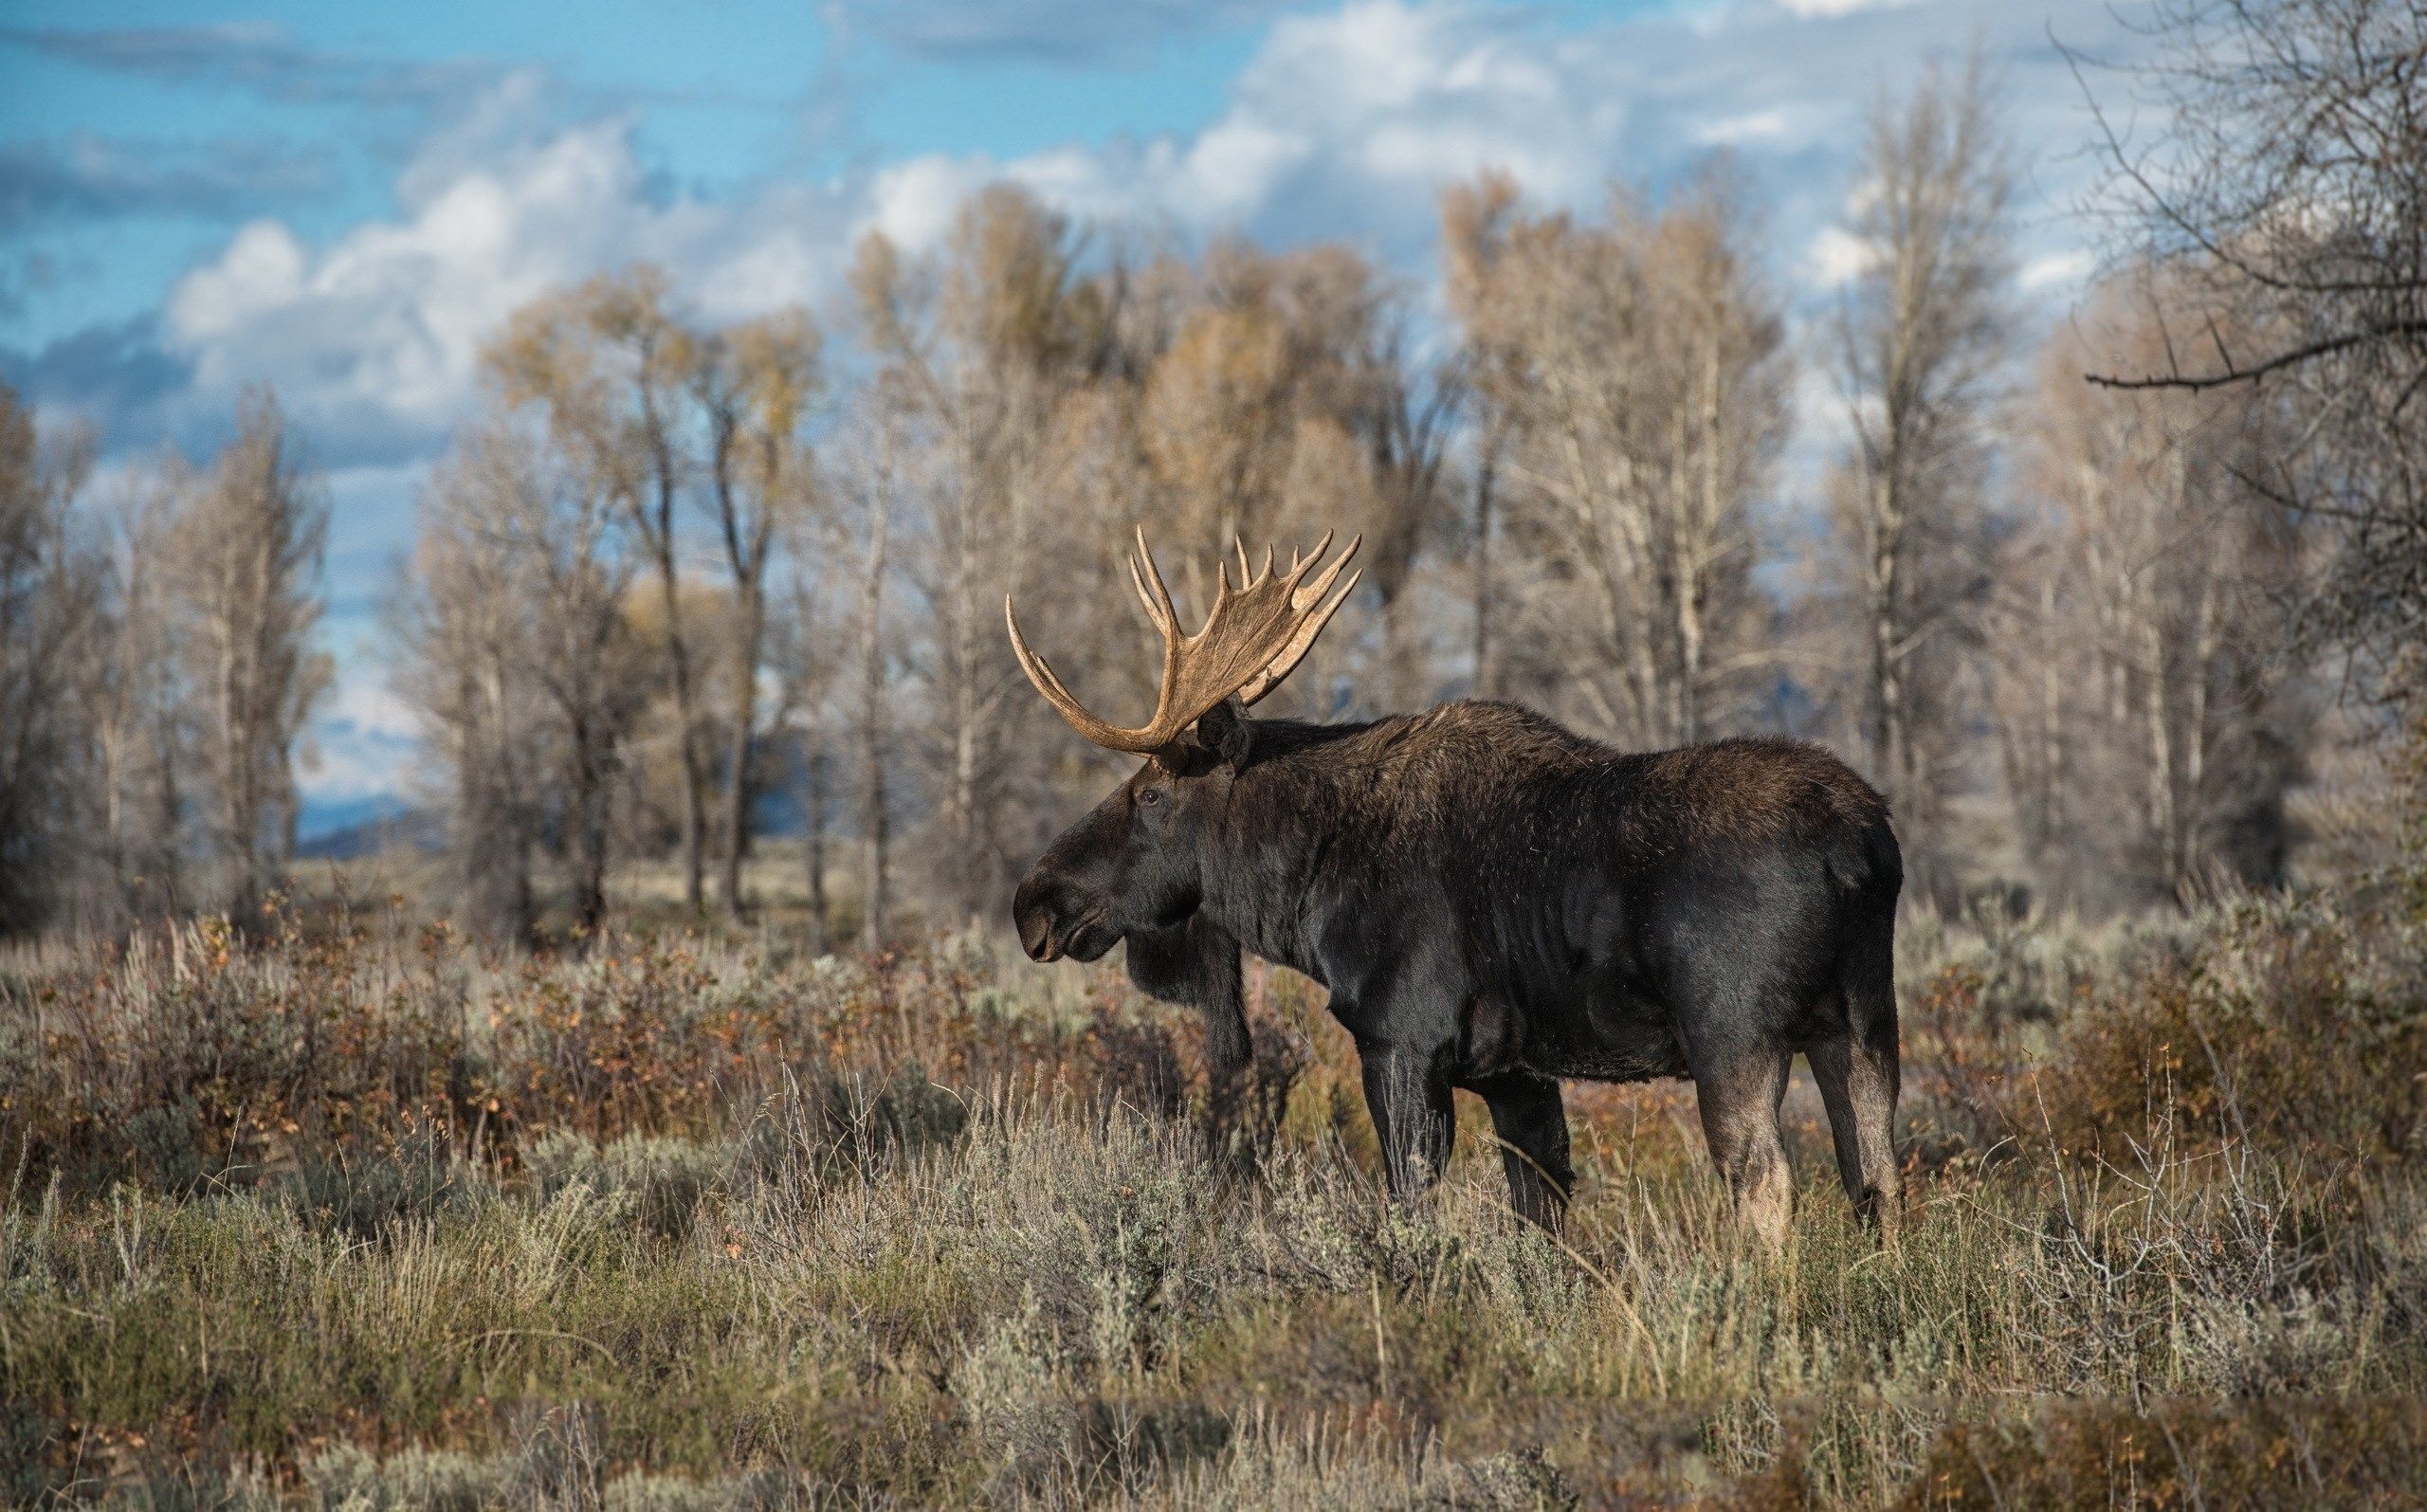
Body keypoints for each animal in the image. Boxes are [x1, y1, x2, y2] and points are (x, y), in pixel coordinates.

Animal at [1004, 531, 1892, 1242]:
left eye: (1152, 791)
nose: (1033, 903)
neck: (1304, 891)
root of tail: (1860, 847)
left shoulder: (1400, 1041)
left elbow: (1411, 1207)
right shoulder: (1517, 1074)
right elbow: (1541, 1220)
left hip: (1736, 1032)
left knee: (1768, 1184)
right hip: (1860, 1021)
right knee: (1874, 1177)